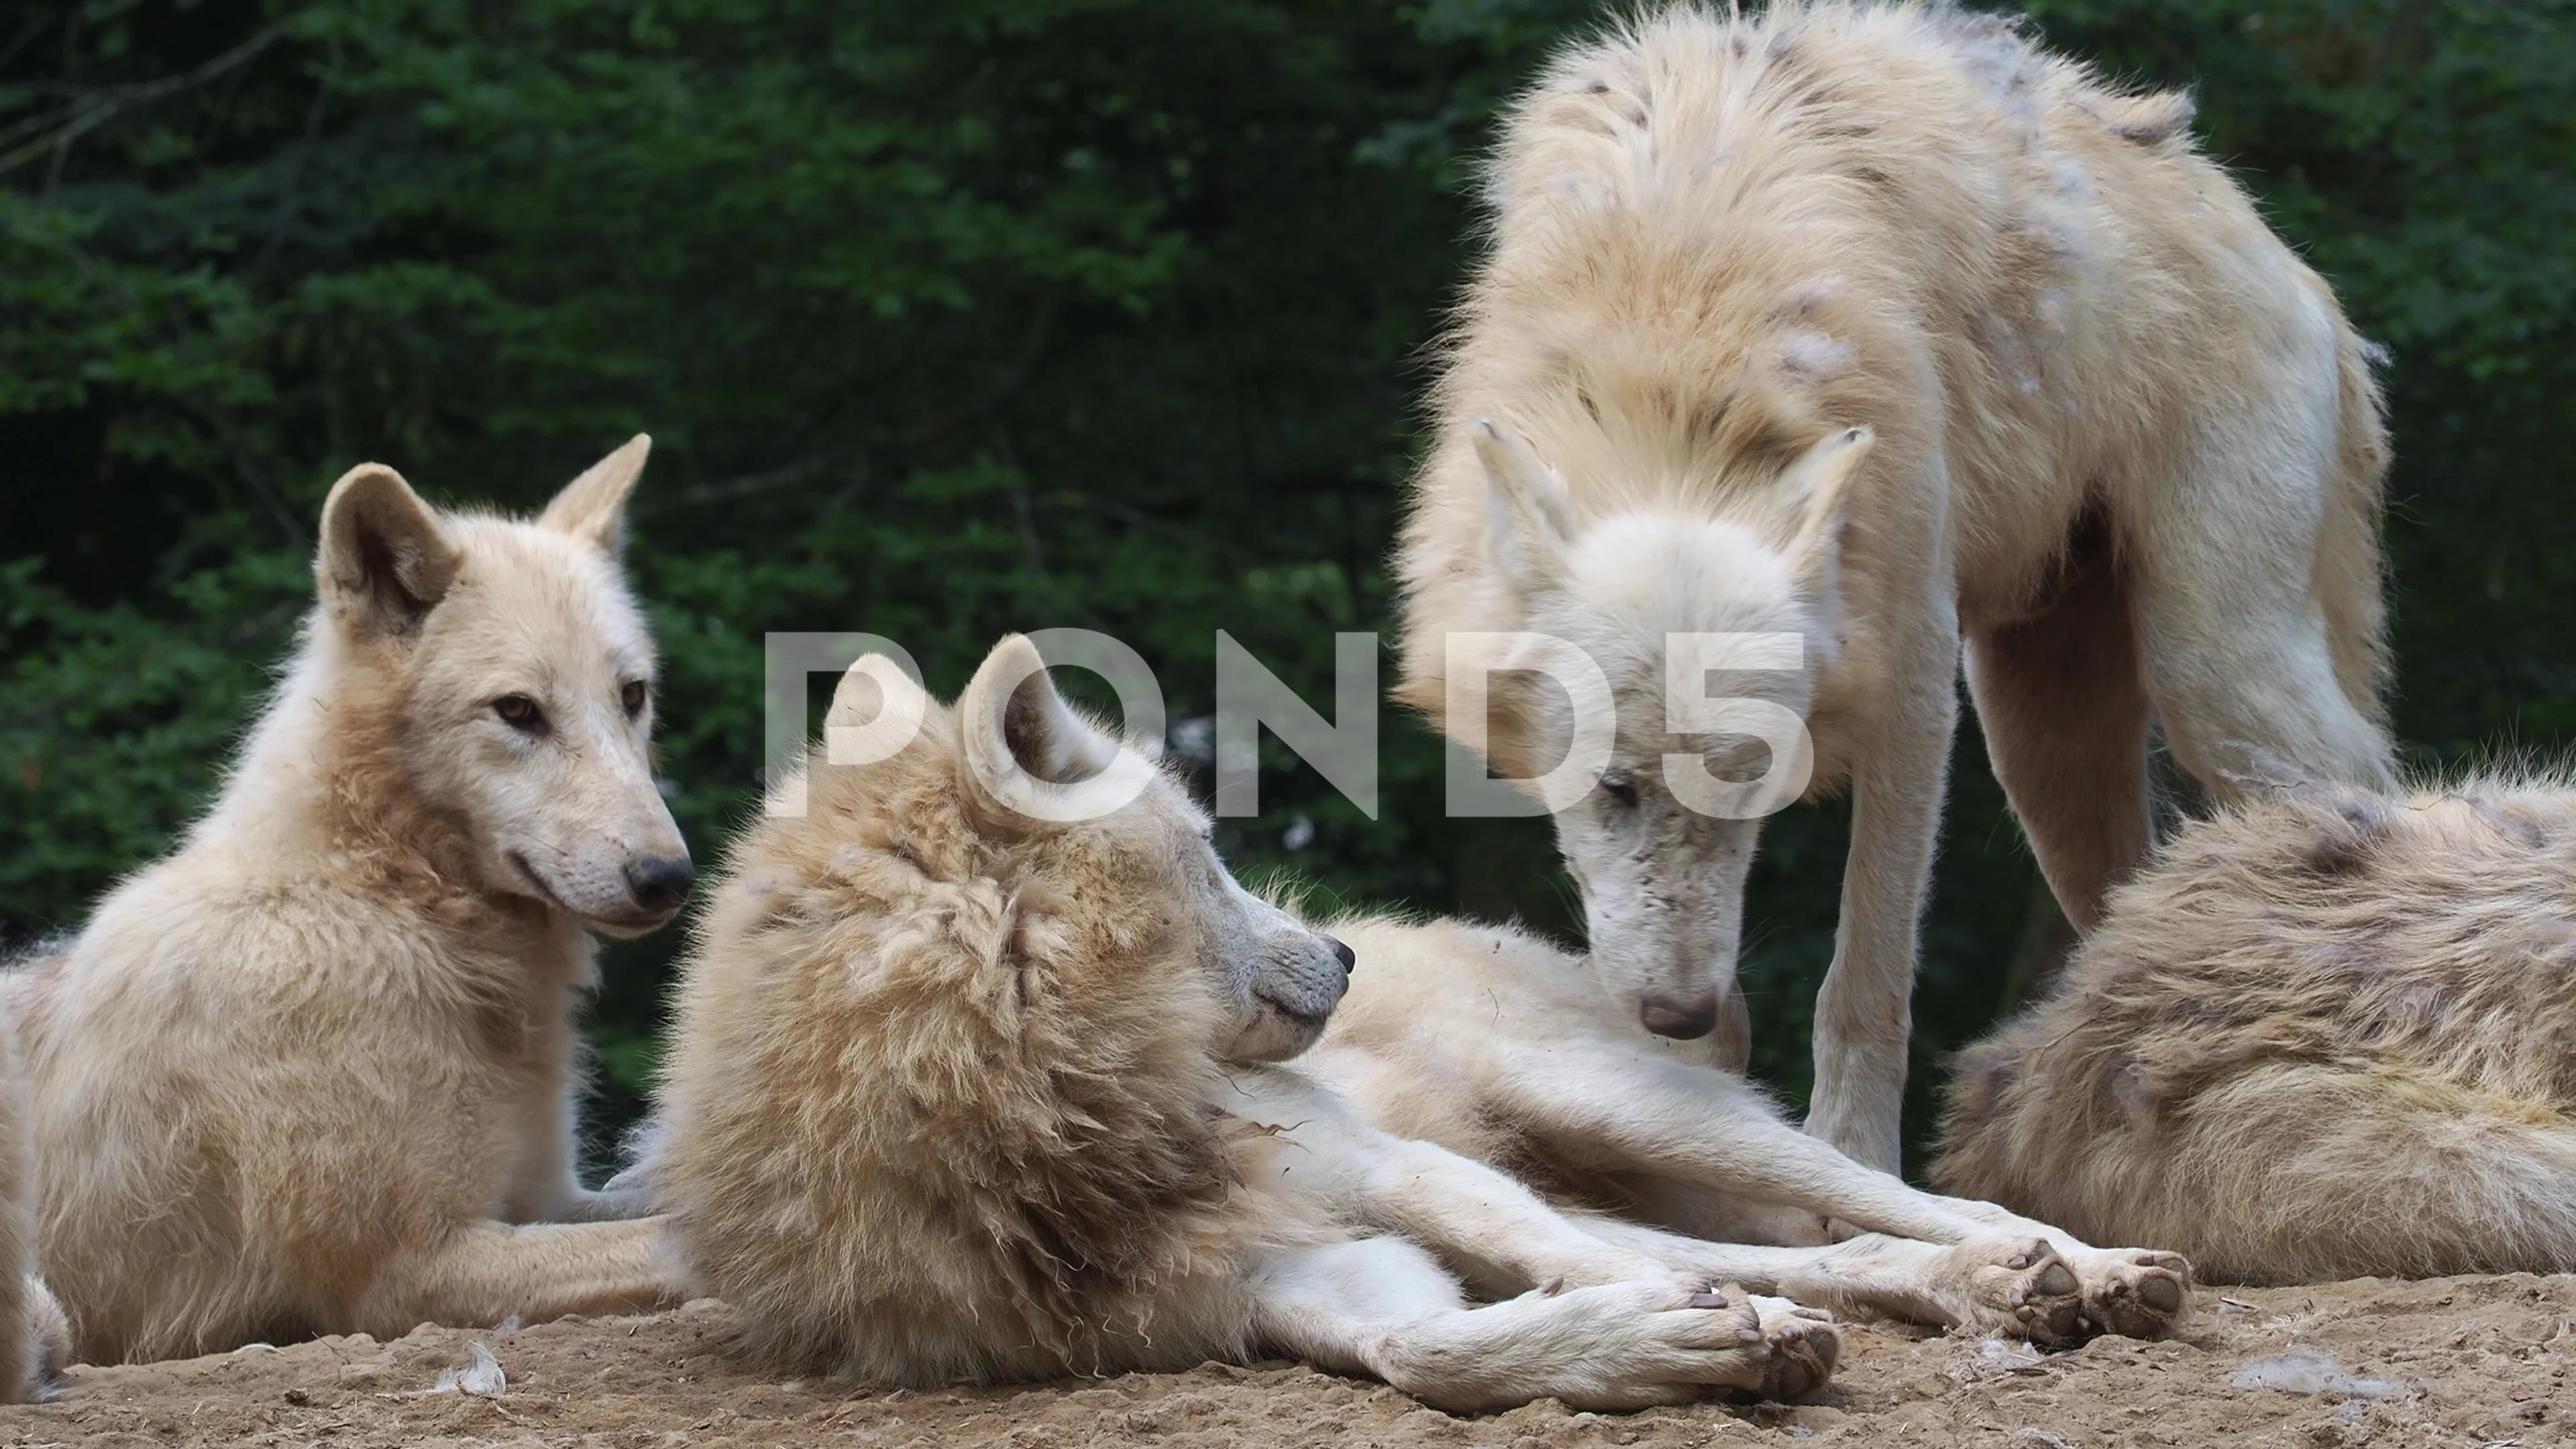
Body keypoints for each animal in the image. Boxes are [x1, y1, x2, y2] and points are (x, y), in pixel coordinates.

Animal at [15, 433, 695, 1361]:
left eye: (632, 696)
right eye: (518, 710)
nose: (670, 877)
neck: (386, 901)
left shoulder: (548, 1198)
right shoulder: (405, 1271)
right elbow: (676, 1243)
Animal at [633, 637, 2184, 1402]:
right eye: (1206, 856)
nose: (1338, 954)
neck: (1051, 1124)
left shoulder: (1383, 1173)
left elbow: (1552, 1270)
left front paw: (1703, 1332)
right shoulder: (1265, 1286)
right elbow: (1430, 1354)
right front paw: (1654, 1350)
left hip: (1629, 1111)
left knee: (1895, 1199)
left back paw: (2078, 1266)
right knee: (1825, 1252)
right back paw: (1984, 1293)